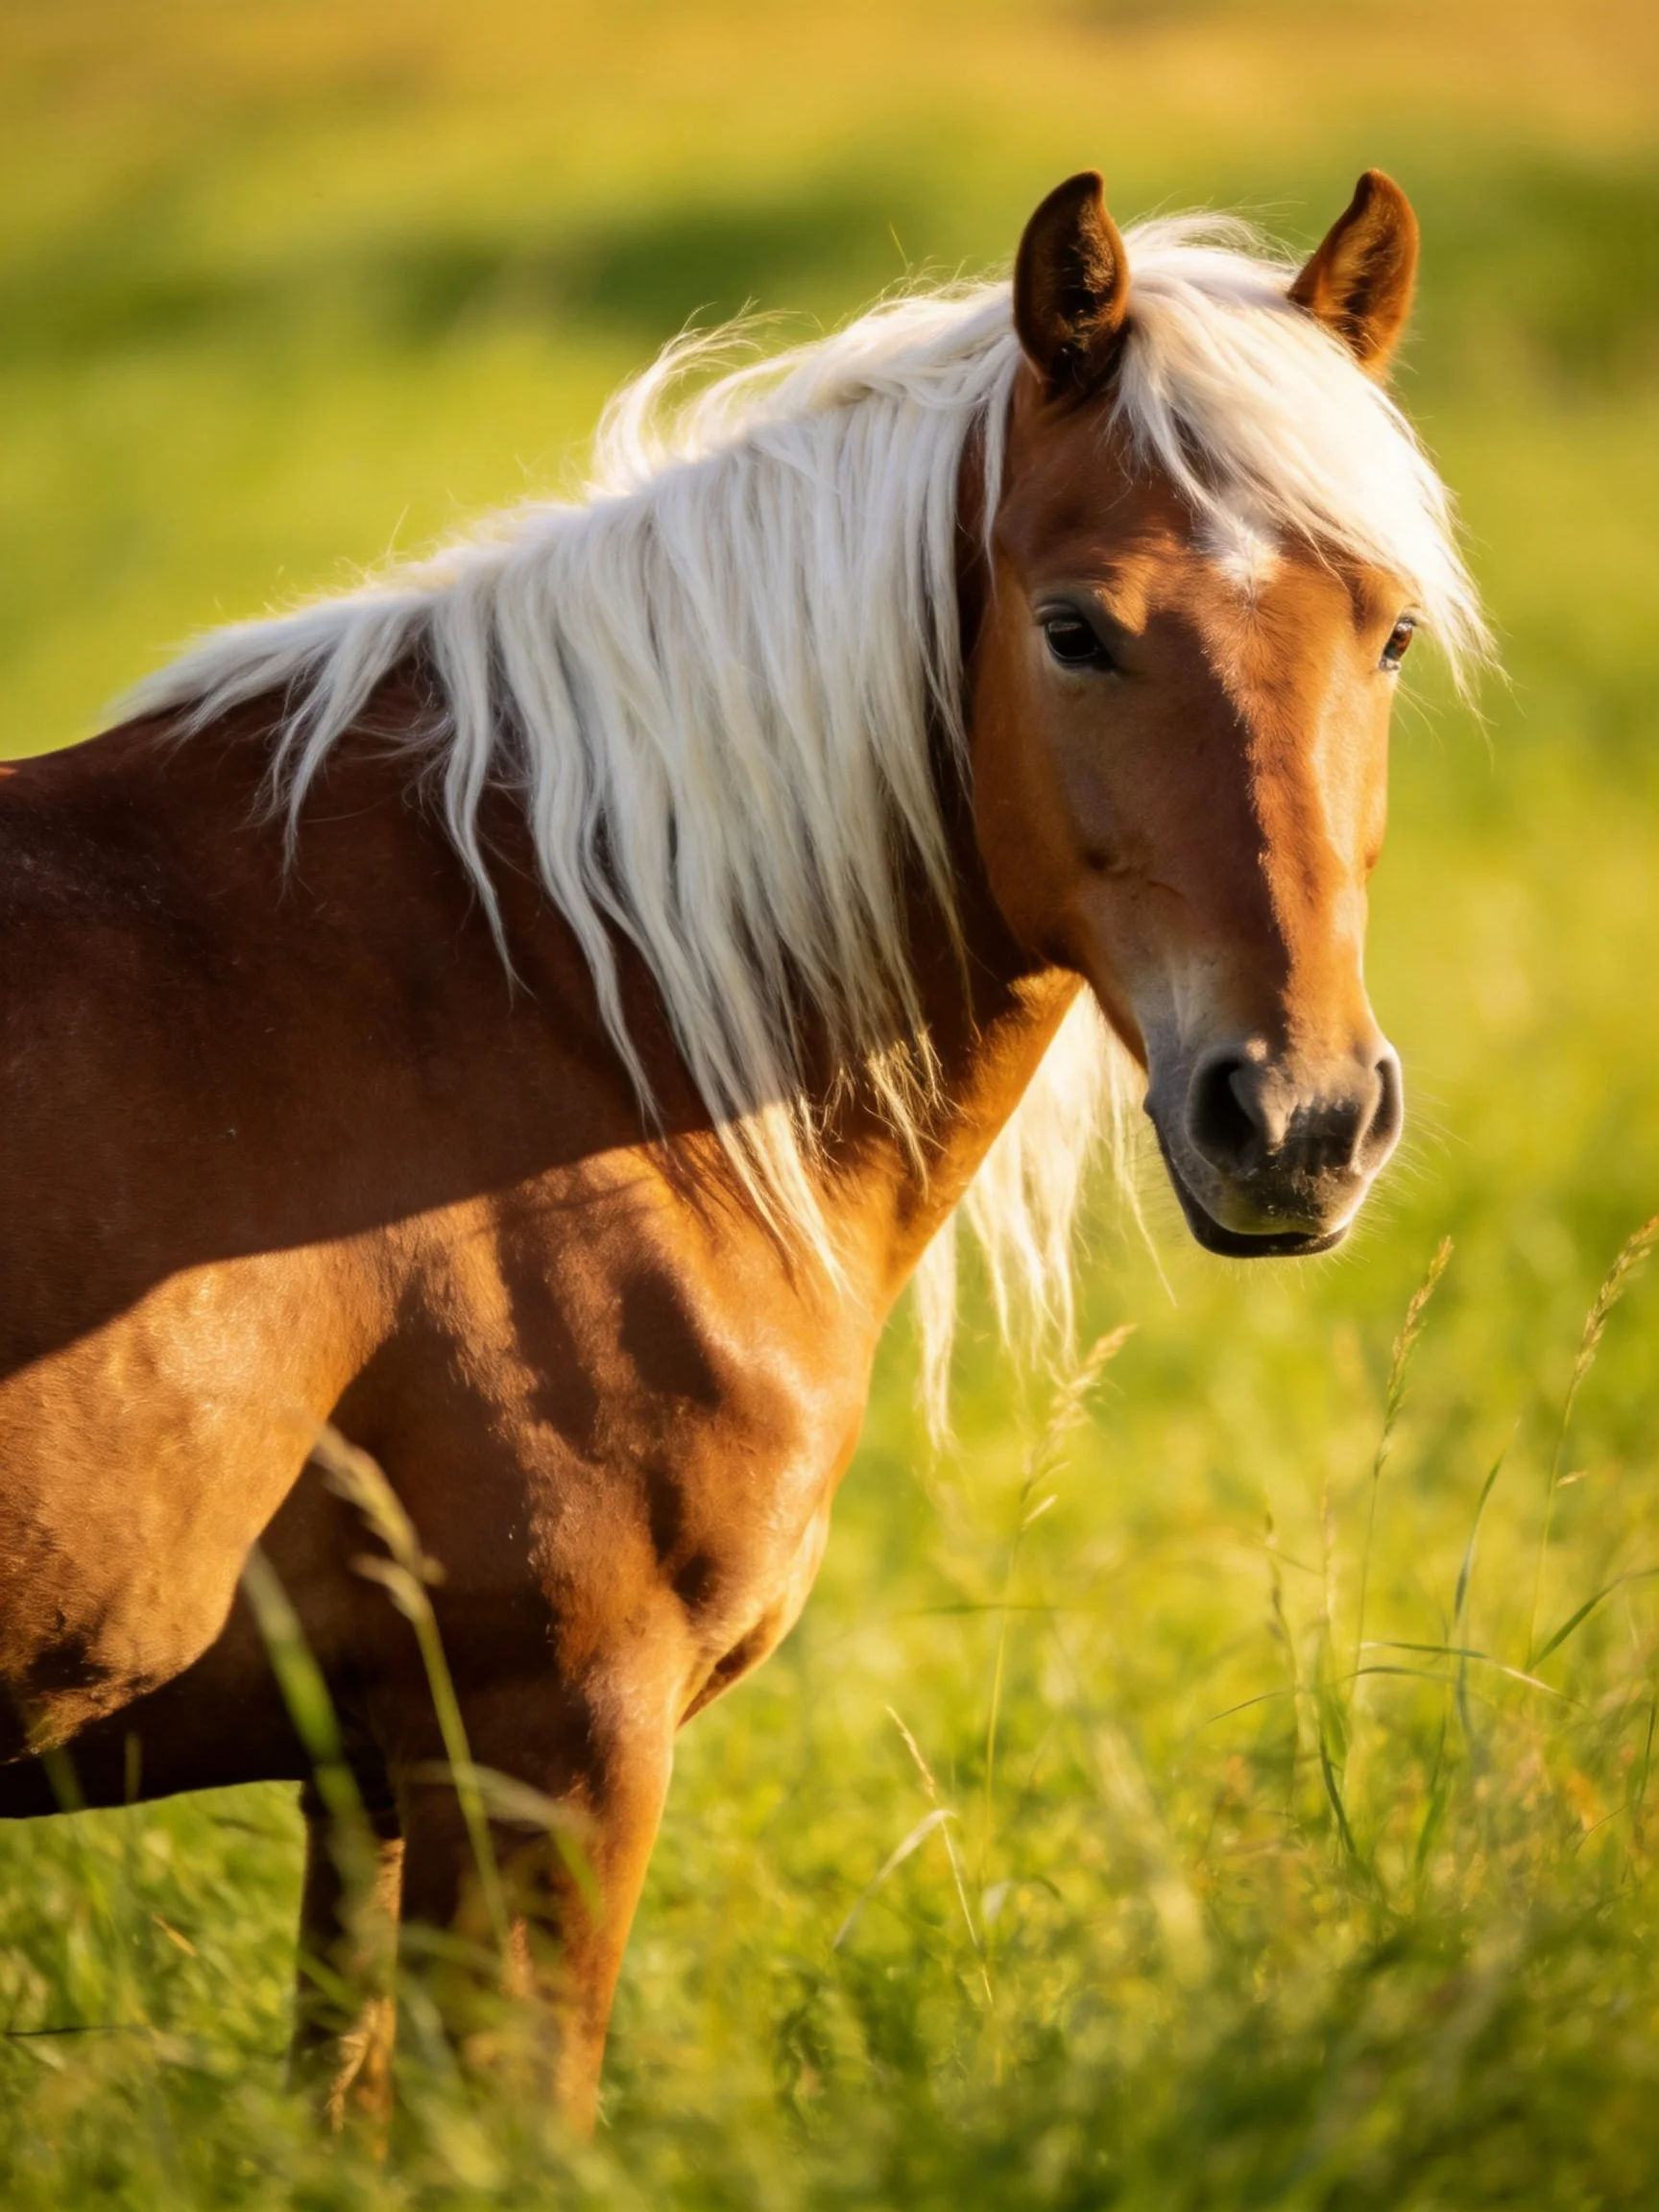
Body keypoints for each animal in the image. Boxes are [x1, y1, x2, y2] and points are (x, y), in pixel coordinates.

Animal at [0, 168, 1484, 2125]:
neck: (560, 986)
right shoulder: (556, 1730)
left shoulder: (367, 1771)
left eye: (1387, 633)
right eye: (1075, 629)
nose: (1300, 1120)